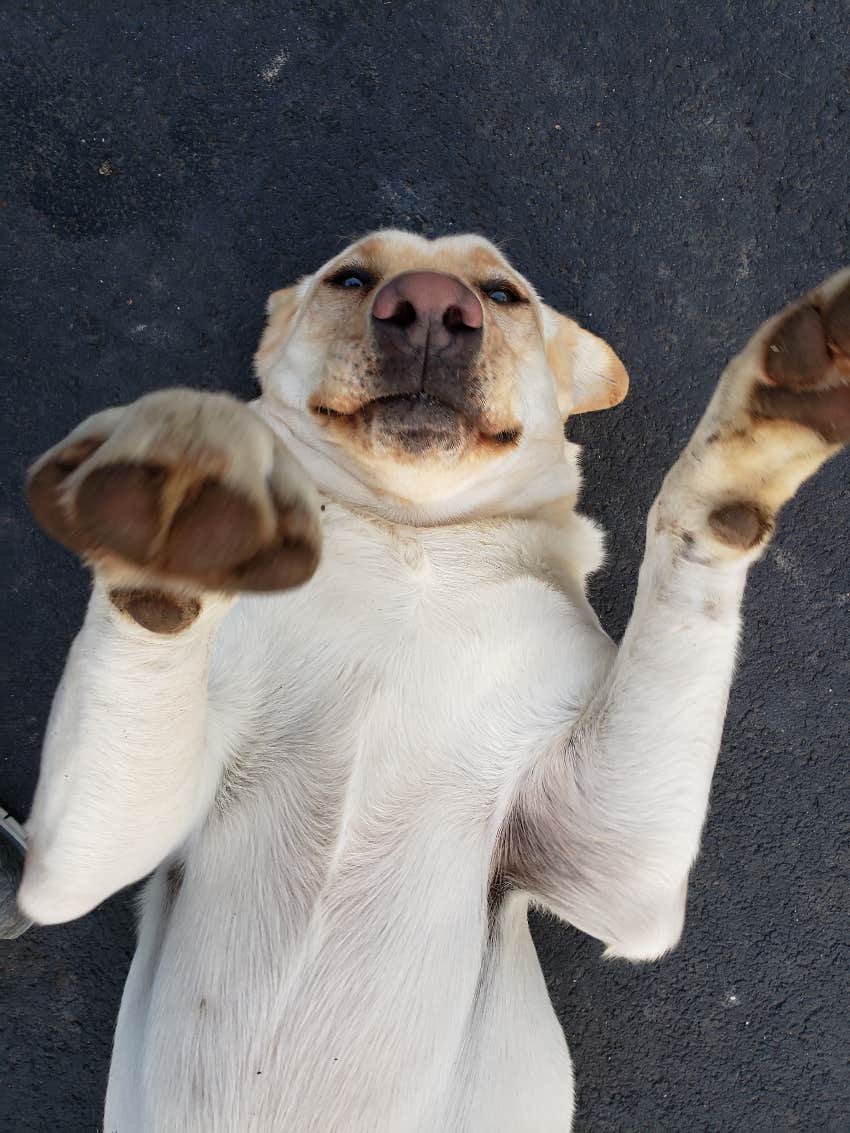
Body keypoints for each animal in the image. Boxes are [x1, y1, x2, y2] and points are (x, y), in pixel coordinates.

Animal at [15, 232, 850, 1133]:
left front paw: (759, 435)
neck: (411, 539)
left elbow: (687, 551)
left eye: (504, 292)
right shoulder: (77, 857)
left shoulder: (616, 866)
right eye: (350, 277)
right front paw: (179, 506)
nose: (427, 306)